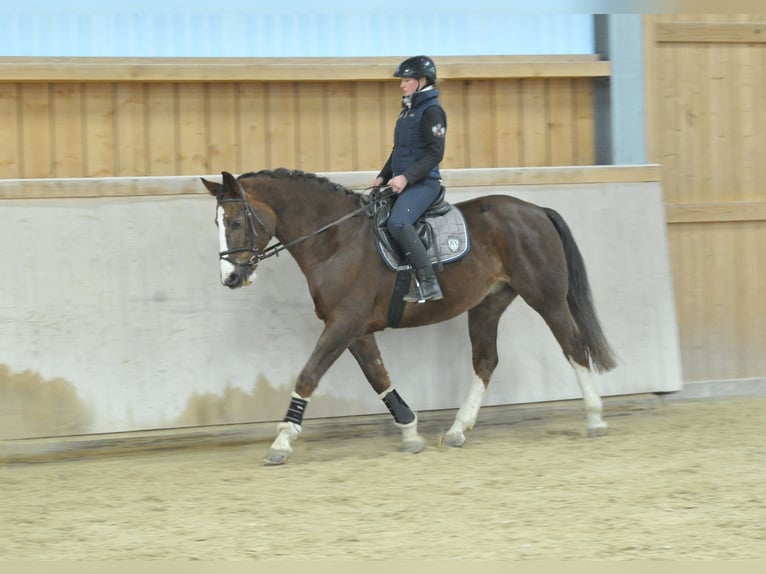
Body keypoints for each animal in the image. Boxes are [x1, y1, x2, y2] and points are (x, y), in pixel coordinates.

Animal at [201, 169, 616, 465]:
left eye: (236, 222)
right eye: (218, 223)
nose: (230, 278)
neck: (334, 240)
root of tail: (536, 211)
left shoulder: (343, 323)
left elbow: (309, 375)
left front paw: (282, 441)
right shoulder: (354, 329)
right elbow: (378, 377)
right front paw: (410, 432)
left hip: (546, 298)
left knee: (573, 346)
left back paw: (595, 419)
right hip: (488, 305)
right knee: (486, 361)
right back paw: (458, 429)